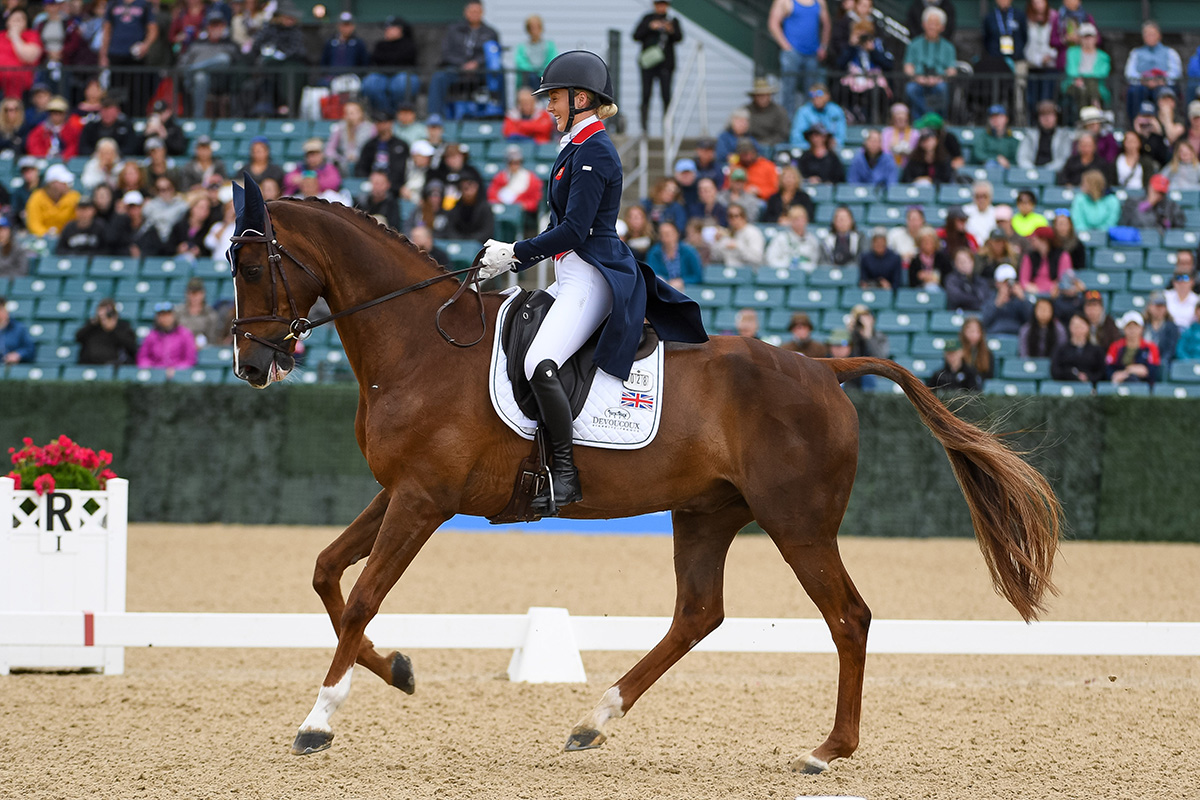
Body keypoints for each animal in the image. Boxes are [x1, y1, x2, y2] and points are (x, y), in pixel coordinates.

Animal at [228, 194, 1061, 773]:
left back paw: (828, 750)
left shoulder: (423, 501)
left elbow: (362, 596)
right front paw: (398, 670)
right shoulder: (400, 492)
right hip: (706, 513)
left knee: (848, 618)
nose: (252, 365)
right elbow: (326, 574)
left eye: (252, 267)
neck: (420, 347)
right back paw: (595, 719)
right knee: (698, 614)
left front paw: (319, 720)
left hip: (798, 525)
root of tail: (825, 366)